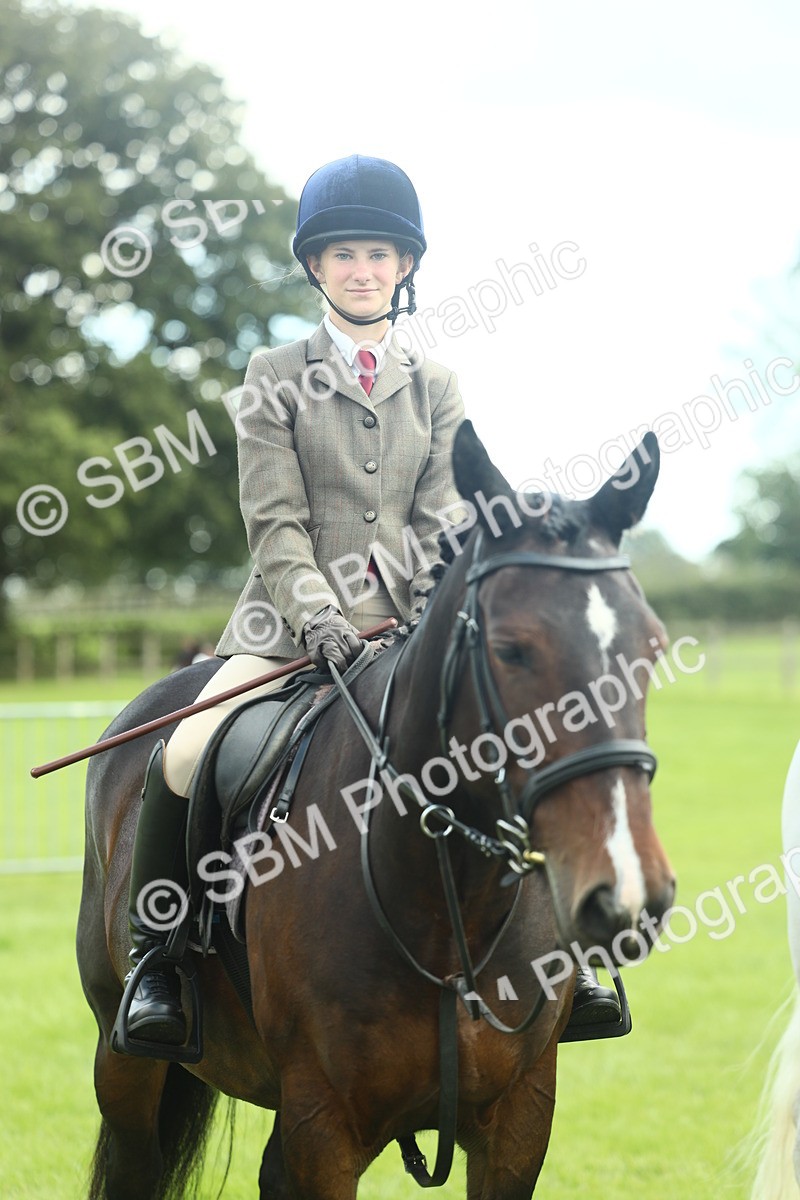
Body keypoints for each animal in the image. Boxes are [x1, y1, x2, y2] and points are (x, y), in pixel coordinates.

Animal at [77, 420, 676, 1199]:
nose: (628, 892)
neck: (447, 906)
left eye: (652, 646)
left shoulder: (520, 1118)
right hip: (124, 1067)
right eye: (511, 650)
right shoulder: (322, 1127)